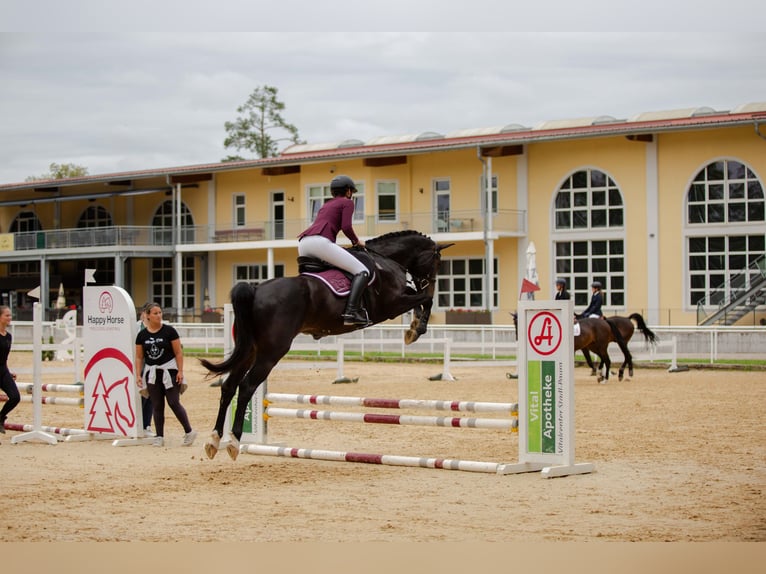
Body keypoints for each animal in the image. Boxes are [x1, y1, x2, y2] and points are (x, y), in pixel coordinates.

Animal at [201, 232, 452, 462]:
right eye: (437, 261)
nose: (429, 284)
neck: (385, 261)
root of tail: (255, 291)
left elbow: (421, 301)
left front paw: (414, 326)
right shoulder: (392, 305)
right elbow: (424, 300)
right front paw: (416, 330)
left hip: (250, 350)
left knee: (229, 385)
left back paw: (214, 440)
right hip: (271, 352)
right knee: (246, 387)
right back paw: (234, 441)